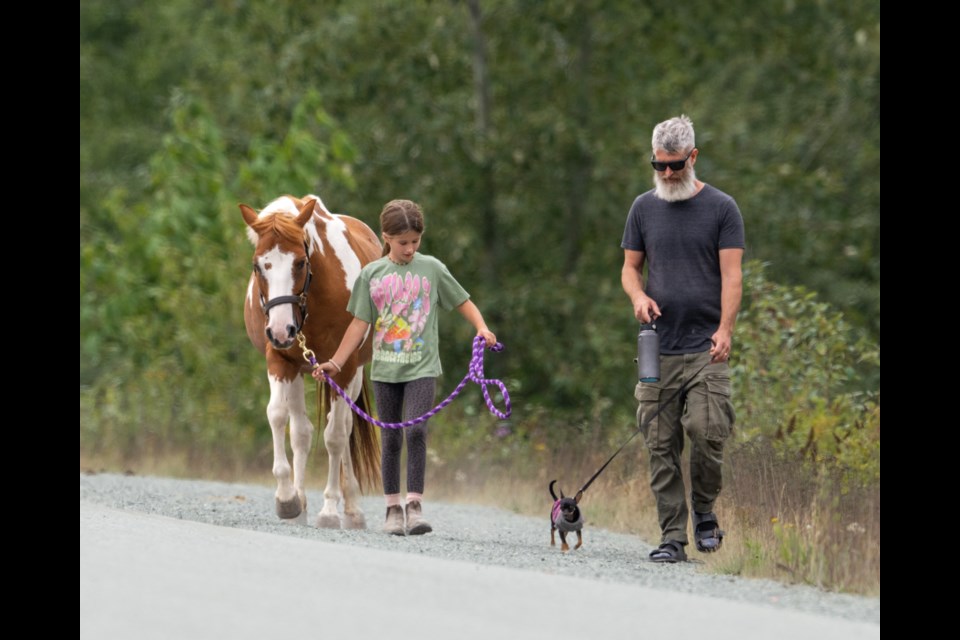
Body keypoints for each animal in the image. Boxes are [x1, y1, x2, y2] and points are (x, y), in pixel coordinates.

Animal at [240, 195, 382, 528]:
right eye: (258, 266)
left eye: (300, 263)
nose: (282, 330)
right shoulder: (280, 361)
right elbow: (278, 417)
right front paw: (286, 498)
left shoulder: (343, 369)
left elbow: (335, 437)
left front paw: (329, 510)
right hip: (299, 369)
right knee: (301, 433)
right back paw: (301, 501)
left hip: (351, 374)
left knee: (343, 429)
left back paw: (351, 509)